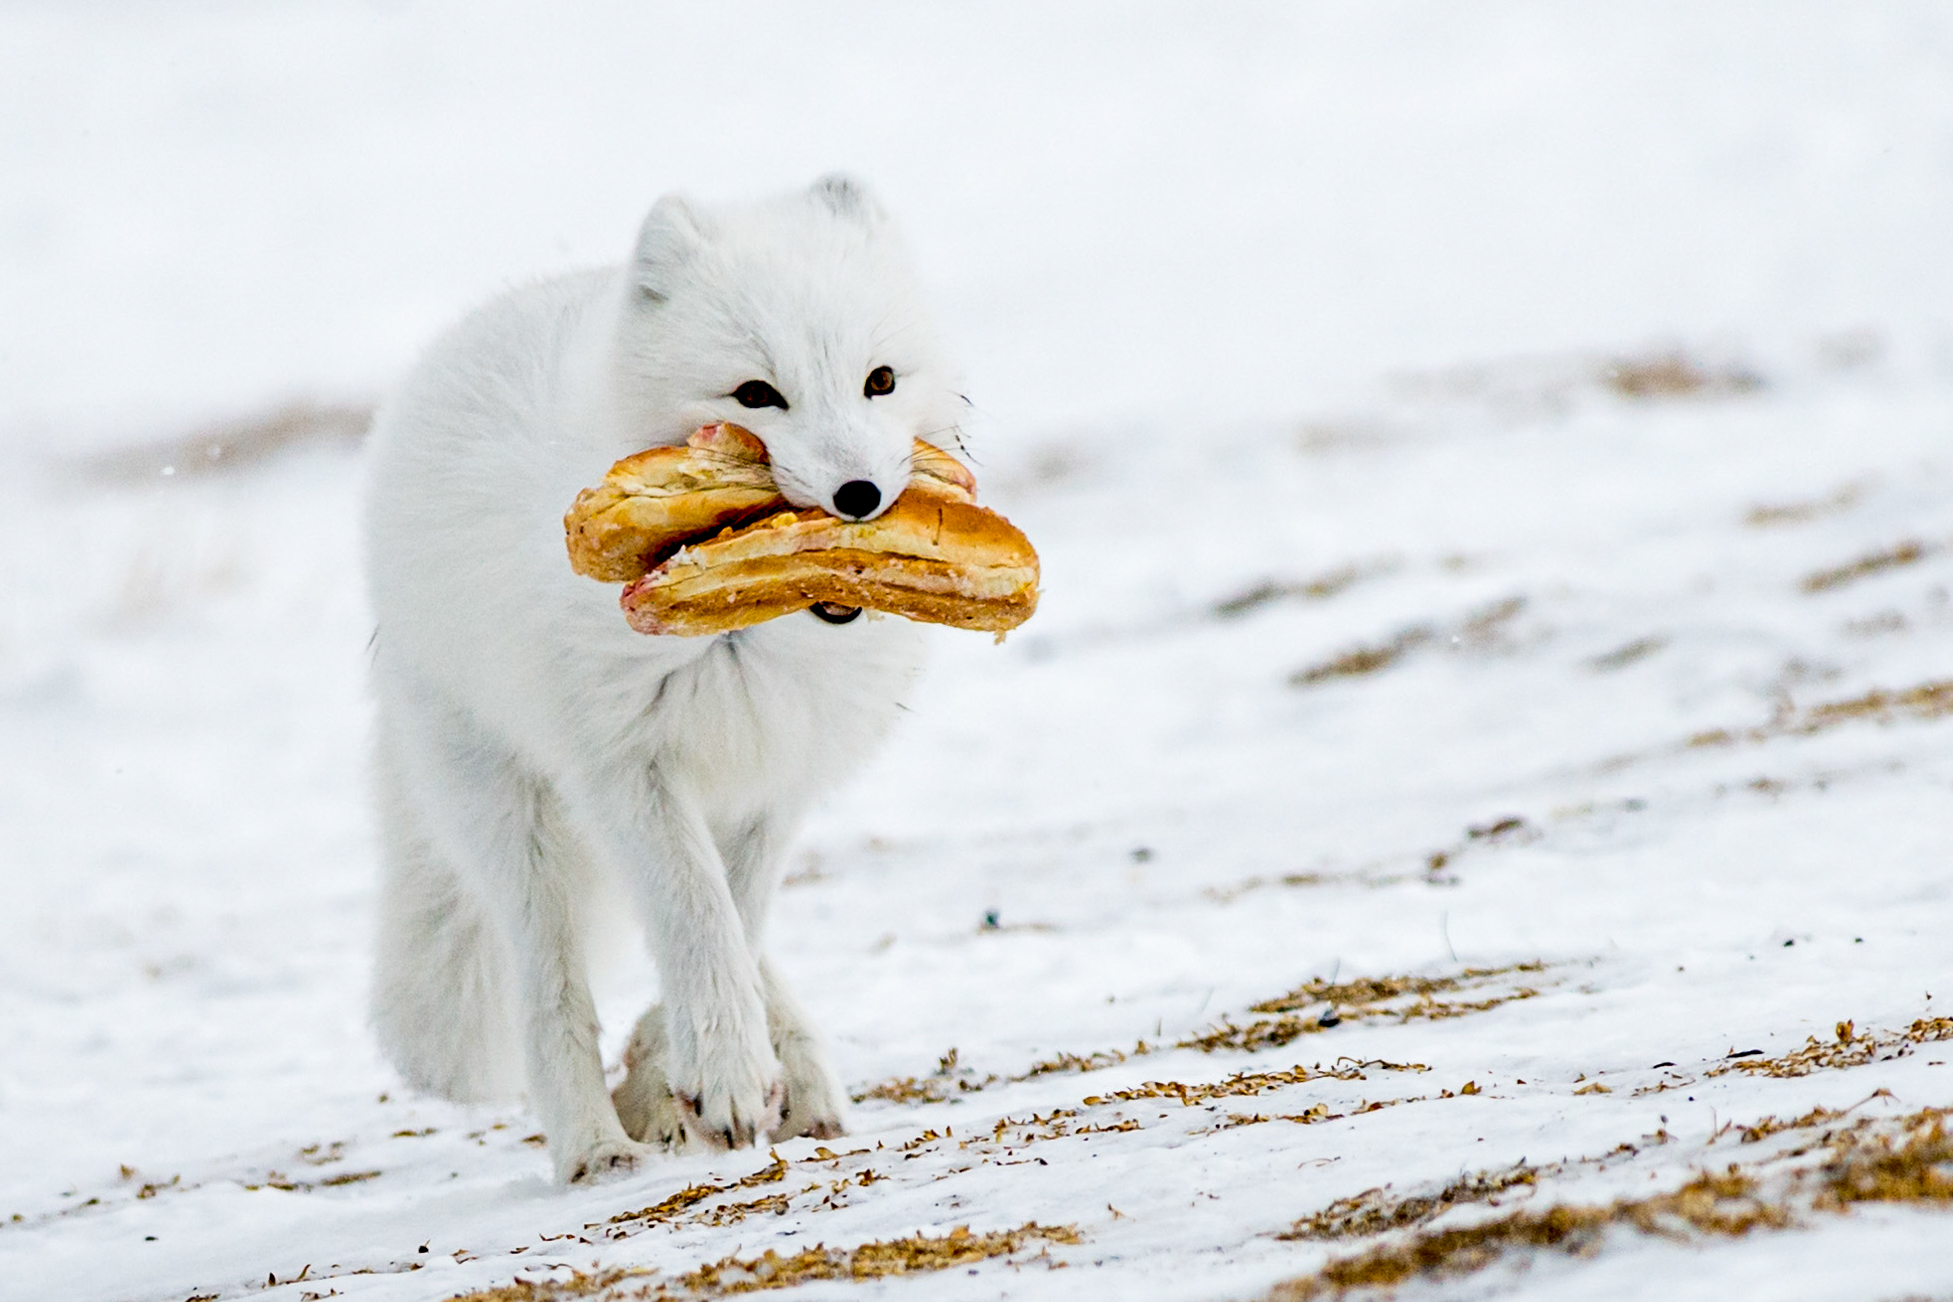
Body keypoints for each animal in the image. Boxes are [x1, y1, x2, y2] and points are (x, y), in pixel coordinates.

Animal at [361, 176, 965, 1183]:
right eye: (755, 396)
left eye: (879, 380)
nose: (858, 500)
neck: (751, 638)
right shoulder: (623, 766)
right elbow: (695, 912)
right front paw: (718, 1074)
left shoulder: (777, 778)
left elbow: (739, 916)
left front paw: (675, 1070)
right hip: (510, 814)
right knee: (548, 987)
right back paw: (593, 1150)